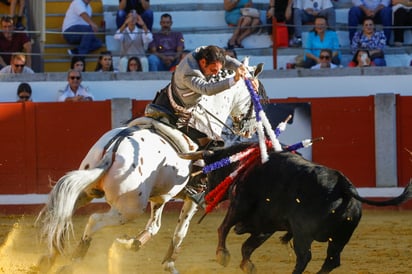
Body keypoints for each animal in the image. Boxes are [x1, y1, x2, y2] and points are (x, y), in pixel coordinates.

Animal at [36, 72, 260, 272]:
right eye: (254, 94)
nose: (249, 127)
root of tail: (114, 148)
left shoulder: (160, 197)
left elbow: (155, 227)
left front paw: (132, 244)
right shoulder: (194, 198)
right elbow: (180, 232)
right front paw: (167, 263)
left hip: (86, 190)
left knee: (60, 215)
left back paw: (48, 258)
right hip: (130, 209)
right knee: (93, 220)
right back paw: (72, 262)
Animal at [187, 143, 412, 274]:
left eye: (209, 172)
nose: (206, 195)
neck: (243, 165)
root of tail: (343, 185)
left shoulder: (240, 205)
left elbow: (224, 228)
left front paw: (222, 255)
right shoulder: (267, 225)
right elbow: (247, 246)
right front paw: (248, 266)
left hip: (303, 233)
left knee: (305, 257)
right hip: (340, 237)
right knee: (331, 261)